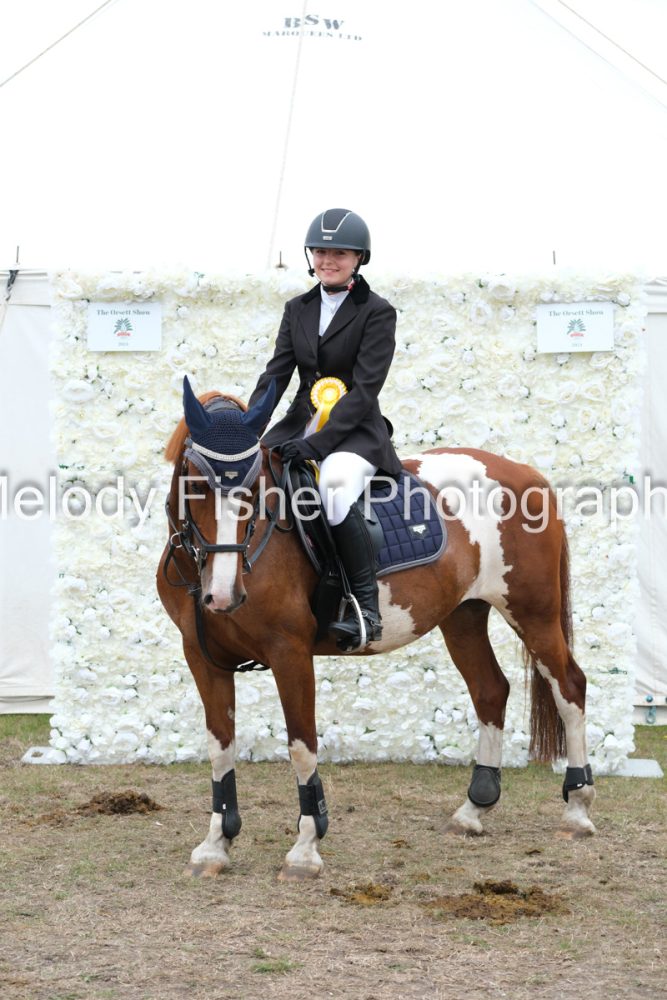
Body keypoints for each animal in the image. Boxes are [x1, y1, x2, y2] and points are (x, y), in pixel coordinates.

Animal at [156, 379, 596, 880]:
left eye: (253, 487)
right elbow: (220, 748)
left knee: (568, 687)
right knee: (490, 691)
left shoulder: (290, 653)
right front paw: (215, 846)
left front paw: (305, 850)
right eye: (194, 482)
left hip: (533, 613)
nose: (224, 594)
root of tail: (526, 473)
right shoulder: (202, 657)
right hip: (463, 617)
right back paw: (472, 811)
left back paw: (577, 810)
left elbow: (302, 747)